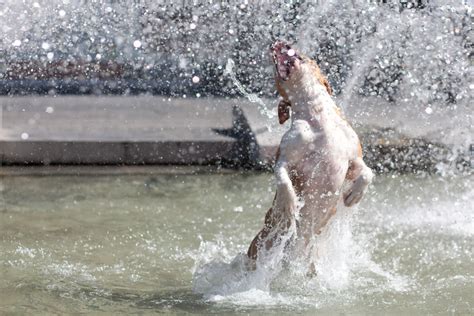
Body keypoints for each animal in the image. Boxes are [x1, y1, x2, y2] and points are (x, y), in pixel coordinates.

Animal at [248, 40, 374, 272]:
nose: (278, 42)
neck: (317, 116)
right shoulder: (285, 159)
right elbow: (283, 179)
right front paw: (289, 204)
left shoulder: (353, 160)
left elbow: (367, 173)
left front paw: (354, 195)